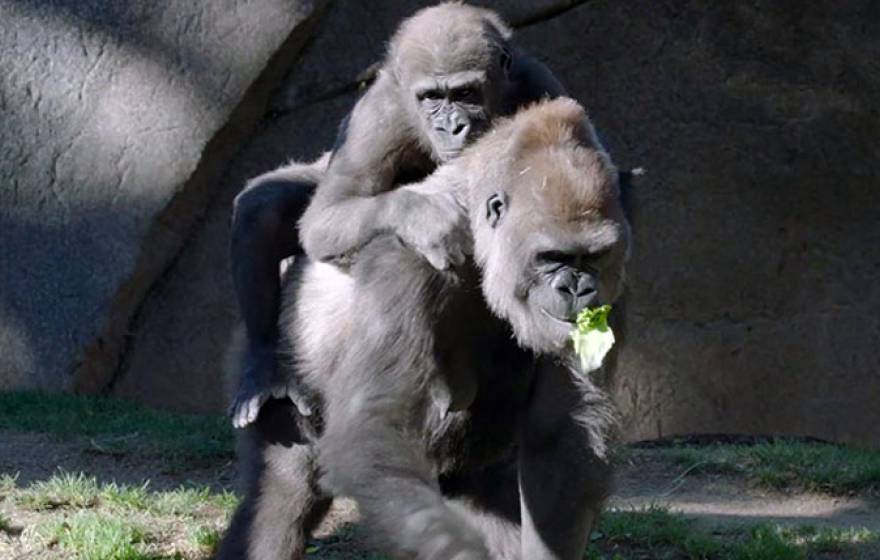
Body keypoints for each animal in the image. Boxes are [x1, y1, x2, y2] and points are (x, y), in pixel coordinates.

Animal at [220, 100, 632, 560]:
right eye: (551, 257)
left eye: (592, 257)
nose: (577, 289)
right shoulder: (407, 257)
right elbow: (372, 435)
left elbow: (563, 435)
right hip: (271, 354)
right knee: (284, 495)